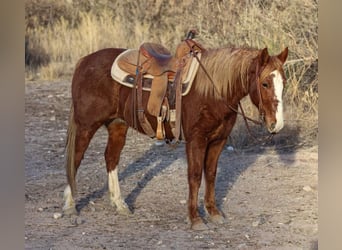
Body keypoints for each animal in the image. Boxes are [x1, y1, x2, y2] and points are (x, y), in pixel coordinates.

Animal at [62, 45, 288, 230]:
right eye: (265, 83)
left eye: (283, 83)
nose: (277, 124)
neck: (212, 91)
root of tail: (85, 61)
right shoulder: (196, 140)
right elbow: (195, 176)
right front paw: (195, 219)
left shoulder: (218, 140)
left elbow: (211, 174)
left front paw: (213, 213)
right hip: (86, 126)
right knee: (75, 159)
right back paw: (70, 205)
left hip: (117, 125)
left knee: (111, 158)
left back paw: (119, 204)